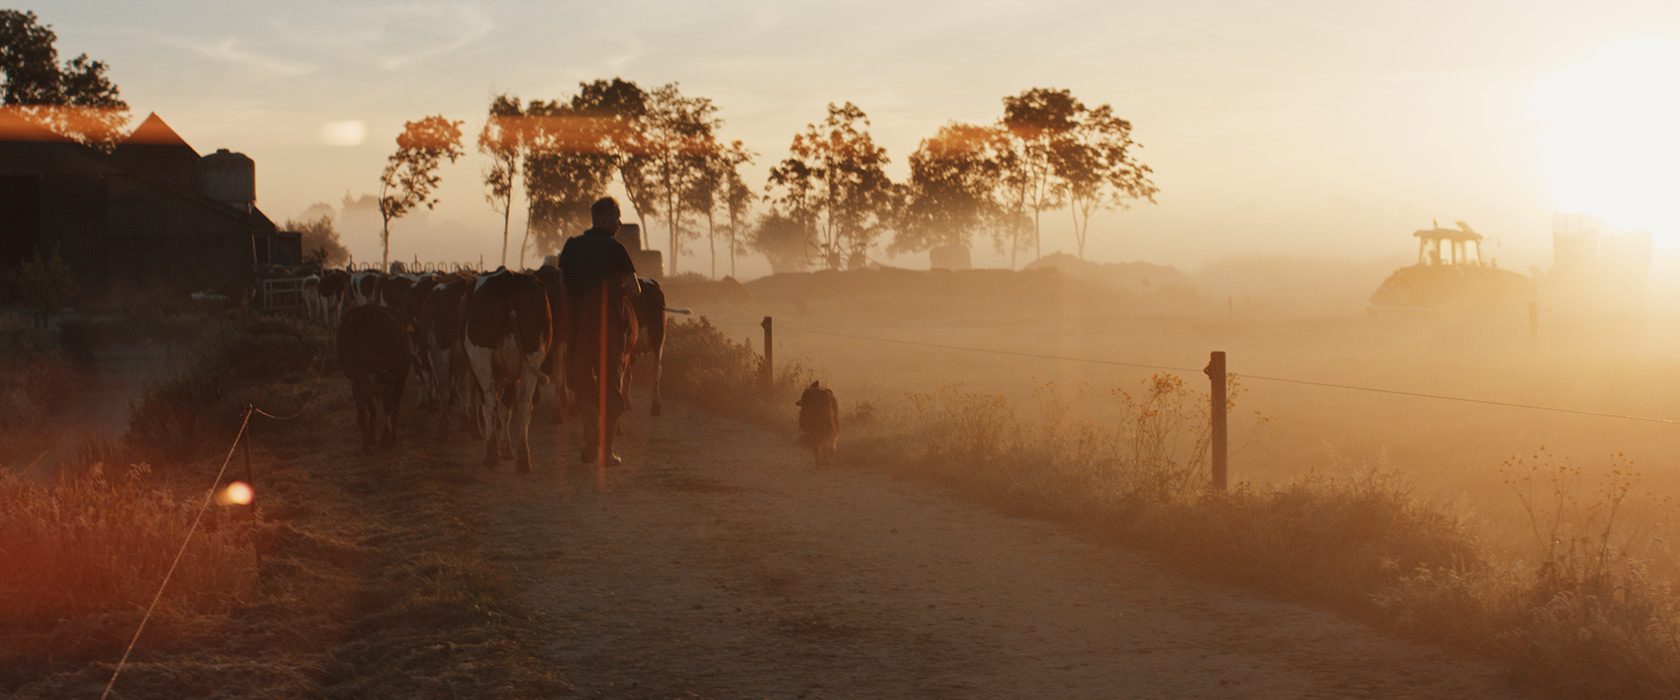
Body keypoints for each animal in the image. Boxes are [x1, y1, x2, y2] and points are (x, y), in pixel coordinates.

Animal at [337, 305, 409, 453]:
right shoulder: (360, 383)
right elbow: (371, 411)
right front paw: (372, 441)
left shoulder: (394, 380)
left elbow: (388, 408)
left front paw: (385, 439)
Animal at [460, 266, 551, 470]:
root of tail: (507, 277)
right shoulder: (511, 373)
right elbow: (507, 408)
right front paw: (507, 449)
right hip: (532, 357)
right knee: (524, 404)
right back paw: (523, 459)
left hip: (482, 358)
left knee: (490, 402)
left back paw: (490, 455)